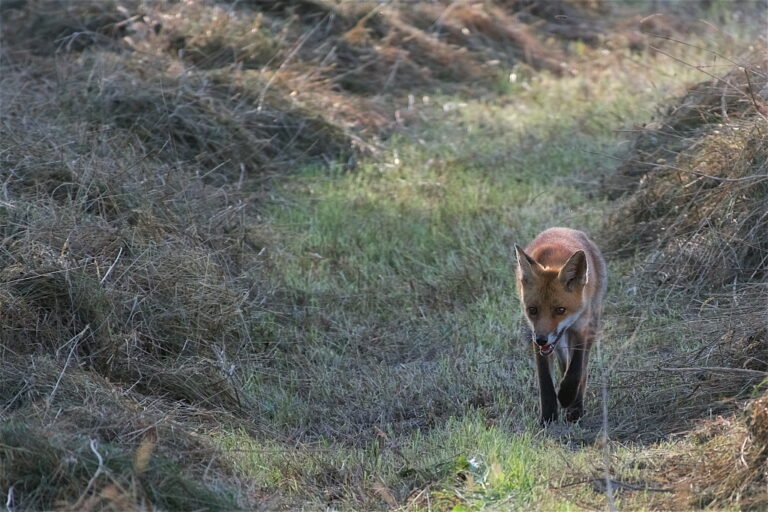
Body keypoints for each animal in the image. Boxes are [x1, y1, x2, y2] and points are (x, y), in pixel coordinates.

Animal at [515, 227, 607, 424]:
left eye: (560, 310)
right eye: (532, 310)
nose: (542, 340)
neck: (553, 260)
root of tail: (563, 229)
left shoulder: (581, 328)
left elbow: (576, 370)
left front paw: (568, 398)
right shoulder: (535, 335)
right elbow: (545, 382)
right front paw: (548, 416)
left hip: (592, 323)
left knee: (582, 369)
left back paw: (575, 404)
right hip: (558, 341)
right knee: (564, 364)